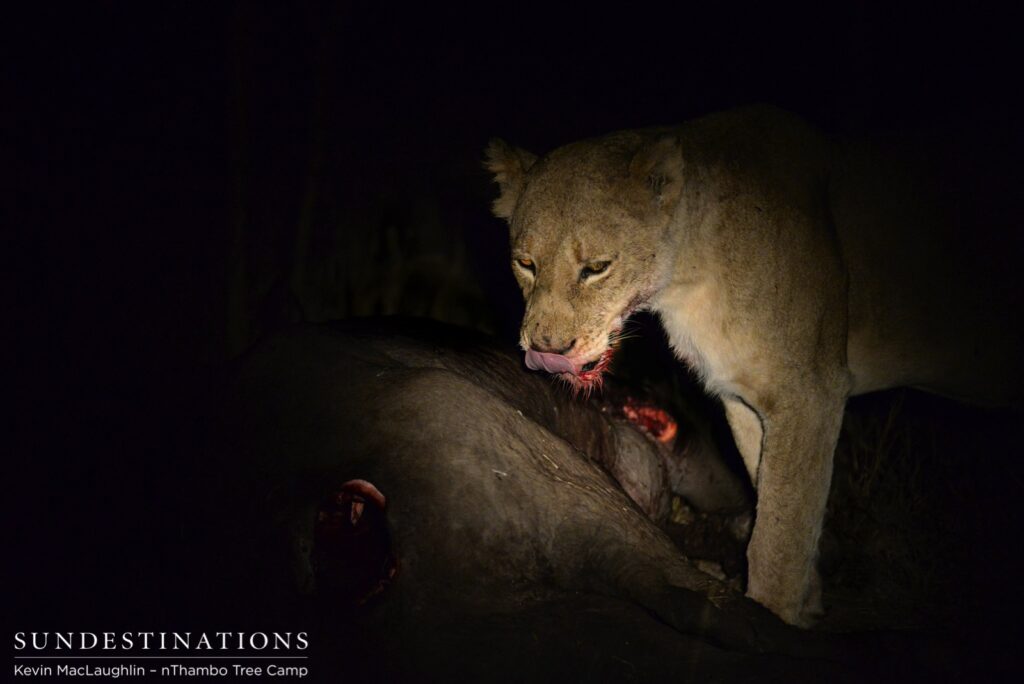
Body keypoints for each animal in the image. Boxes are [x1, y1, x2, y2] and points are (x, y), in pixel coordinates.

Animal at [485, 105, 1022, 626]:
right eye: (525, 263)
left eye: (597, 267)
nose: (548, 349)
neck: (688, 279)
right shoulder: (743, 397)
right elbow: (774, 498)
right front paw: (803, 606)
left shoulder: (812, 392)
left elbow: (781, 530)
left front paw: (773, 616)